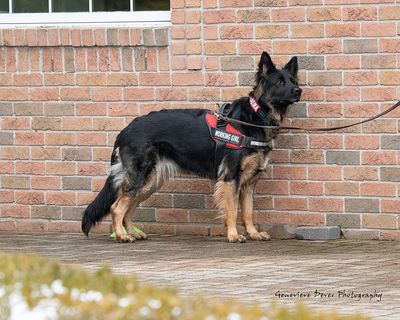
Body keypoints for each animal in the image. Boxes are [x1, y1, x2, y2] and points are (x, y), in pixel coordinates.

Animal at [81, 52, 300, 242]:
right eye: (280, 82)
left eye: (294, 81)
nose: (299, 91)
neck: (256, 116)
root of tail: (125, 130)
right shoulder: (231, 178)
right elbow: (232, 210)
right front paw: (233, 235)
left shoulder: (248, 183)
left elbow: (248, 212)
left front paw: (253, 233)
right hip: (140, 177)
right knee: (117, 207)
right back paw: (122, 236)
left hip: (150, 182)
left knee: (129, 206)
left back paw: (132, 232)